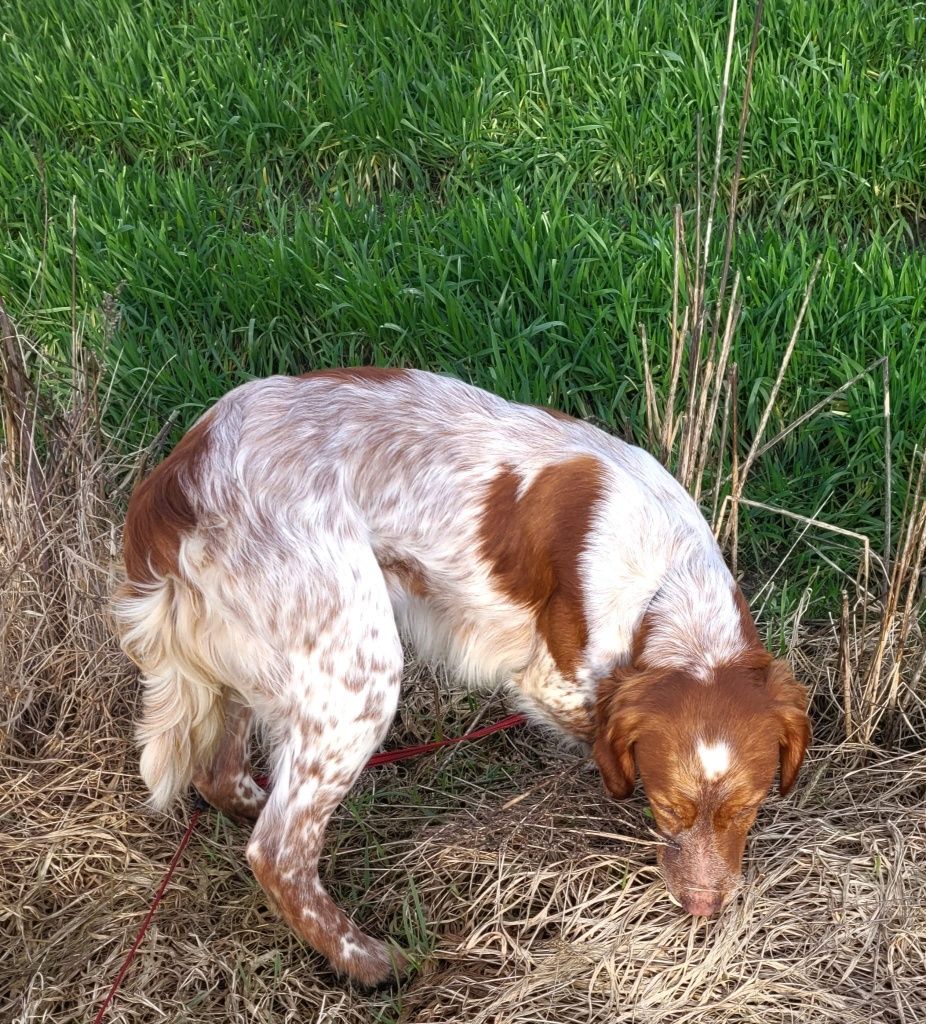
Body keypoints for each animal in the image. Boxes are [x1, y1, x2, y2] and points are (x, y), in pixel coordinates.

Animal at [113, 366, 811, 983]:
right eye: (668, 807)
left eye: (748, 811)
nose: (703, 908)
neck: (670, 582)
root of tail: (175, 483)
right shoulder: (552, 678)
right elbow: (596, 733)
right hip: (358, 668)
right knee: (279, 850)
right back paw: (371, 963)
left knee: (223, 775)